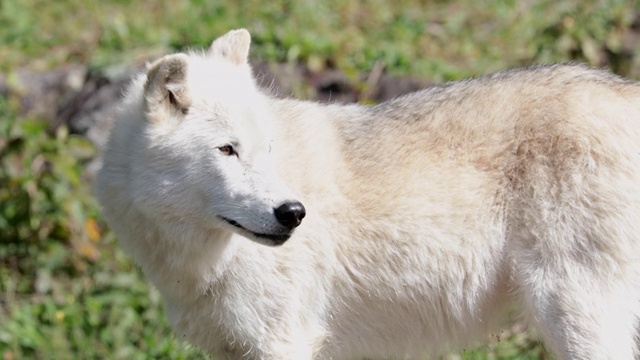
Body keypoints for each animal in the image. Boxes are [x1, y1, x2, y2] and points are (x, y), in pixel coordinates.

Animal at [96, 29, 640, 358]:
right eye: (227, 150)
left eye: (267, 148)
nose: (294, 212)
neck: (204, 261)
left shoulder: (285, 343)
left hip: (575, 316)